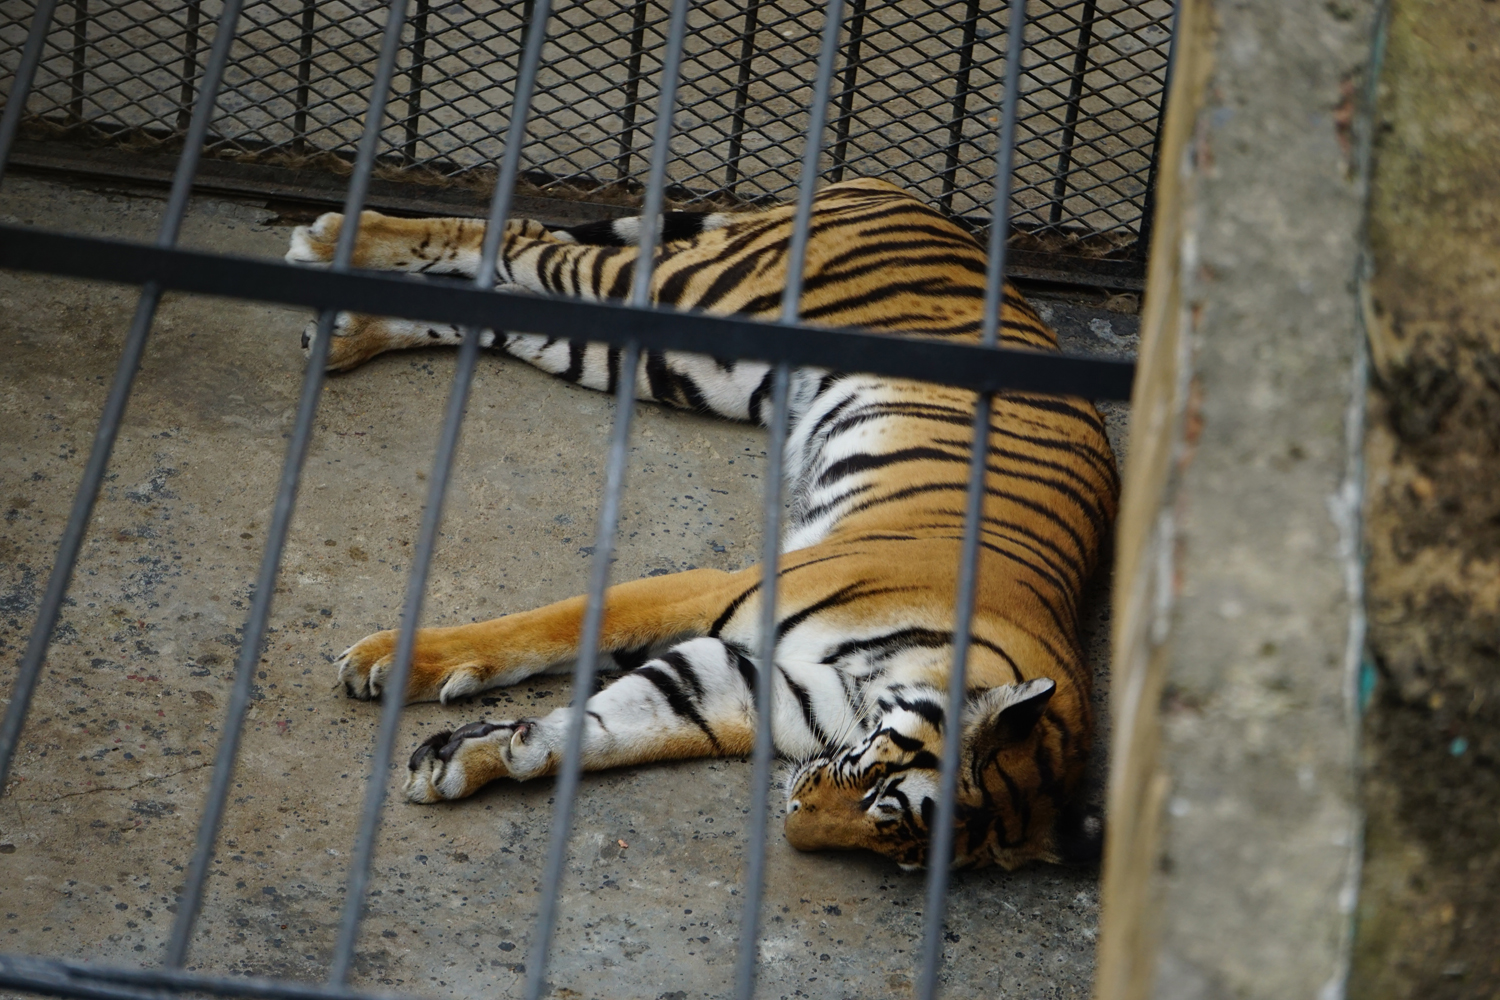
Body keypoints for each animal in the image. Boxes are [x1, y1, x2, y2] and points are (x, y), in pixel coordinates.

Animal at [284, 177, 1120, 870]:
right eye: (882, 793)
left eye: (903, 853)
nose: (794, 820)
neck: (877, 685)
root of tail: (893, 189)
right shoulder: (717, 590)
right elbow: (551, 626)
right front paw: (396, 662)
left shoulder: (738, 686)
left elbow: (619, 726)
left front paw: (484, 757)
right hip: (695, 296)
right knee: (525, 244)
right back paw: (329, 238)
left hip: (672, 362)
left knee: (506, 302)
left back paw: (345, 328)